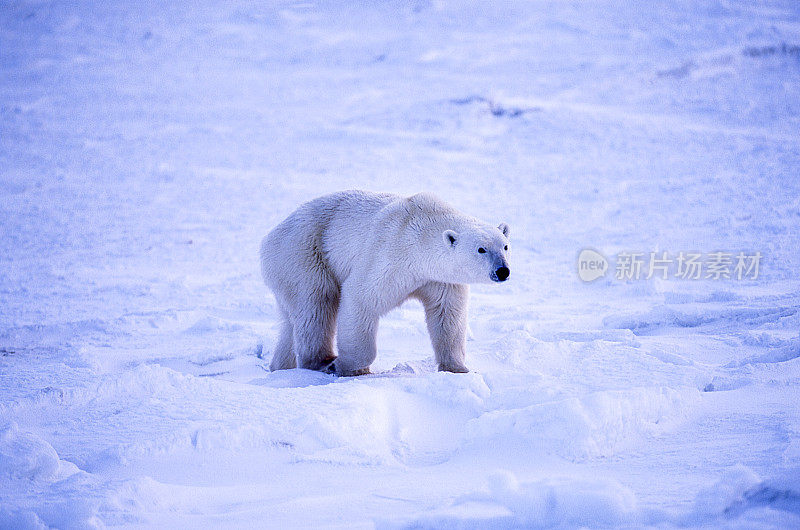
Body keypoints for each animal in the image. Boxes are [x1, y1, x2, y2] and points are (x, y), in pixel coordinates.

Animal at [262, 190, 512, 376]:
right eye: (481, 249)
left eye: (505, 246)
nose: (502, 271)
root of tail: (269, 239)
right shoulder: (390, 256)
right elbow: (360, 298)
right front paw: (348, 367)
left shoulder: (441, 279)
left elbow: (447, 315)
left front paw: (459, 368)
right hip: (305, 254)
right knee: (316, 304)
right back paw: (322, 361)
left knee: (290, 320)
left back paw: (280, 366)